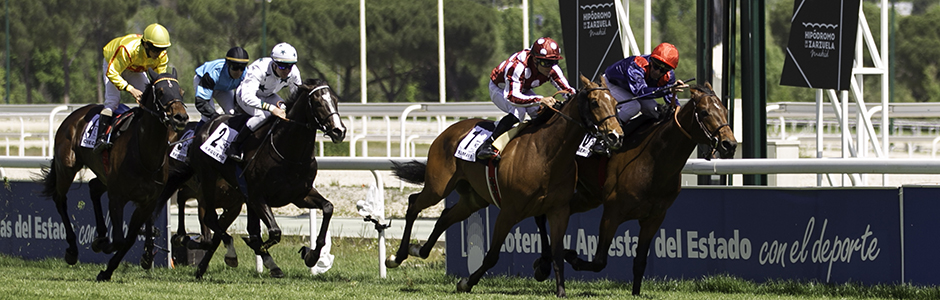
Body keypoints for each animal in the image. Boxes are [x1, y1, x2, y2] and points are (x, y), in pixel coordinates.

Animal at [40, 68, 188, 282]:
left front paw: (107, 270)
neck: (145, 154)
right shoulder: (117, 196)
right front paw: (101, 246)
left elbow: (129, 239)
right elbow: (119, 239)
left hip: (104, 176)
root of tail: (73, 115)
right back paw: (73, 250)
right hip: (67, 167)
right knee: (60, 200)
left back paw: (101, 234)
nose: (180, 117)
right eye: (160, 92)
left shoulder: (147, 202)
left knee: (93, 187)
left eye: (181, 92)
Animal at [184, 78, 346, 278]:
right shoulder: (257, 196)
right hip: (208, 179)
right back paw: (230, 253)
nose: (339, 131)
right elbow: (274, 232)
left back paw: (202, 268)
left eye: (335, 100)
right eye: (317, 102)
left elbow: (328, 208)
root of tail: (206, 125)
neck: (289, 152)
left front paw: (312, 255)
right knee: (211, 220)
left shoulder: (300, 194)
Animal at [388, 75, 624, 298]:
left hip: (473, 199)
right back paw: (397, 257)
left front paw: (561, 291)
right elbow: (492, 255)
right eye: (594, 102)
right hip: (438, 187)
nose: (616, 136)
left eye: (615, 102)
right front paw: (466, 282)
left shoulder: (559, 210)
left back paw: (420, 250)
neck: (546, 154)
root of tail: (450, 129)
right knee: (414, 203)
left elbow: (557, 252)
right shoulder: (509, 211)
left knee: (445, 217)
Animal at [532, 82, 740, 296]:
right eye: (705, 112)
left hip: (588, 197)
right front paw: (570, 256)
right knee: (541, 216)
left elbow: (640, 261)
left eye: (725, 110)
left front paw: (636, 292)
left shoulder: (654, 218)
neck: (654, 160)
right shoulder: (612, 213)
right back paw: (544, 264)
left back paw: (545, 260)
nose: (730, 144)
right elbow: (599, 261)